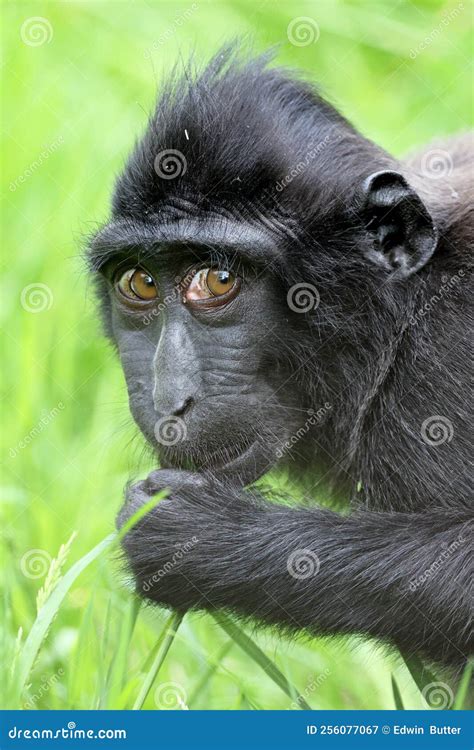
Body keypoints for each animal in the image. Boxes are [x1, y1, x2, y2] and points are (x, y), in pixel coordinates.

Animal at [88, 48, 473, 668]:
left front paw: (199, 534)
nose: (170, 399)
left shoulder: (446, 365)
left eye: (218, 280)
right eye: (140, 283)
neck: (402, 313)